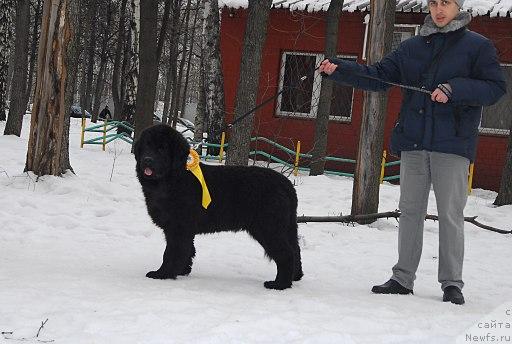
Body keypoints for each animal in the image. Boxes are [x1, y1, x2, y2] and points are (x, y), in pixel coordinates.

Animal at [134, 125, 302, 288]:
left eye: (161, 148)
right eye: (146, 146)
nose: (147, 160)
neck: (173, 179)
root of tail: (286, 184)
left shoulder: (178, 227)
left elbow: (171, 252)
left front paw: (163, 274)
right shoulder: (184, 229)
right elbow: (188, 250)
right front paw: (182, 270)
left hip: (269, 227)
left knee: (286, 254)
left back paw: (280, 284)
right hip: (287, 227)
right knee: (295, 250)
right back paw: (295, 277)